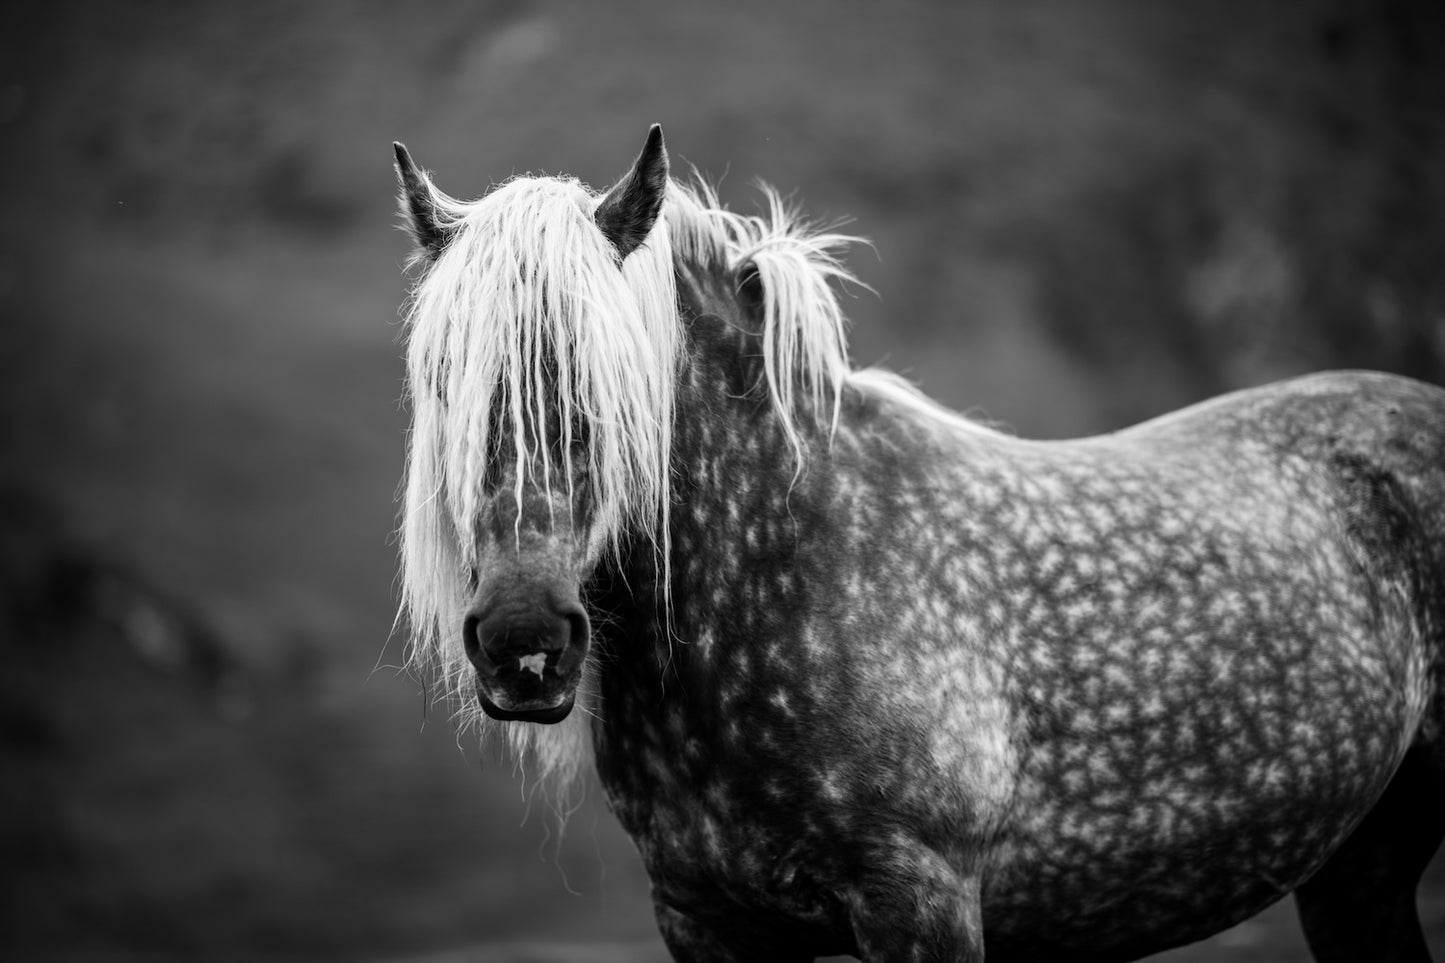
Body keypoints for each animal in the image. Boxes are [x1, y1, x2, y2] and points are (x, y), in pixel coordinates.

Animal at [390, 123, 1439, 954]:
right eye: (443, 377)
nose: (524, 643)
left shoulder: (918, 902)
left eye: (609, 379)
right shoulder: (704, 918)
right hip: (1360, 866)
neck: (793, 572)